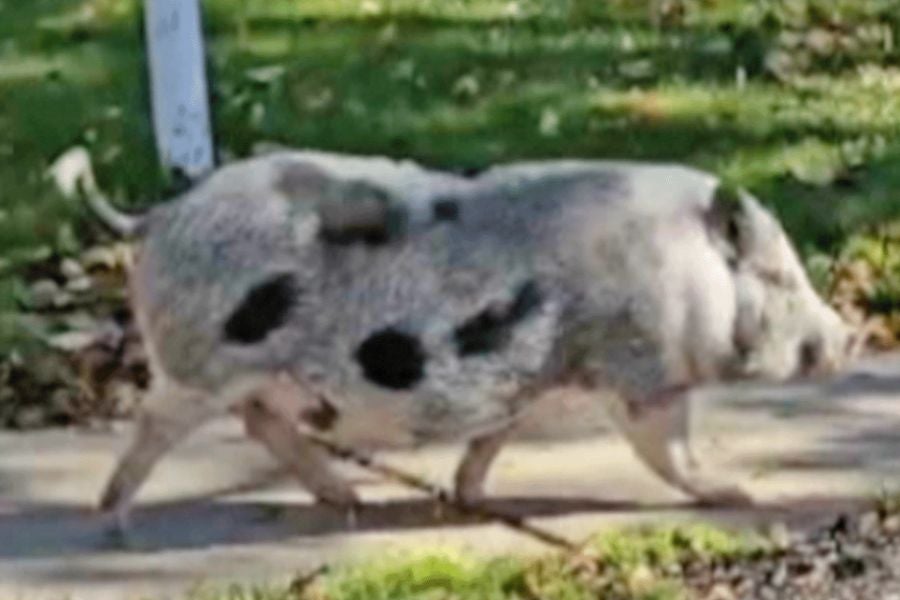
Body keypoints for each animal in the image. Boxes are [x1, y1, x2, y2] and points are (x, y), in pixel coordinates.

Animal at [78, 149, 860, 528]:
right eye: (780, 278)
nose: (851, 337)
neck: (687, 275)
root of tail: (159, 215)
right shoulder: (639, 370)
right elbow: (669, 455)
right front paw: (741, 495)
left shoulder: (532, 382)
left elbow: (492, 437)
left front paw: (473, 495)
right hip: (197, 367)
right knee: (157, 426)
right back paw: (114, 520)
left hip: (248, 379)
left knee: (261, 424)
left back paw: (349, 502)